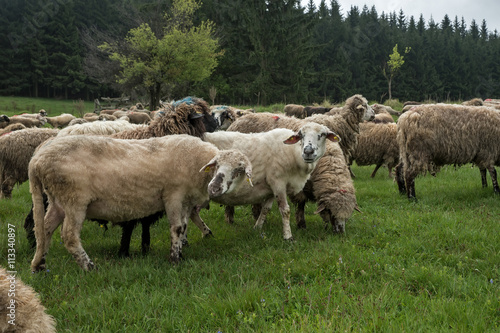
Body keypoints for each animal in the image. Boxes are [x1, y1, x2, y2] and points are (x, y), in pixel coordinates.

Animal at [29, 133, 252, 270]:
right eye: (216, 166)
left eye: (238, 170)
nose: (214, 188)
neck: (196, 166)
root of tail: (37, 159)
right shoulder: (173, 195)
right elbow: (177, 228)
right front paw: (174, 260)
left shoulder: (186, 202)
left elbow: (184, 227)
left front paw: (180, 254)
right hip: (74, 199)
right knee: (69, 236)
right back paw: (89, 267)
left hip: (57, 201)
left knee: (44, 229)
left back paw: (39, 265)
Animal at [203, 122, 340, 239]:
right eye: (301, 135)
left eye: (322, 134)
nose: (308, 151)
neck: (293, 153)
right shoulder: (278, 182)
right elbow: (285, 210)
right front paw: (288, 236)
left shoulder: (270, 187)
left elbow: (266, 209)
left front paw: (257, 227)